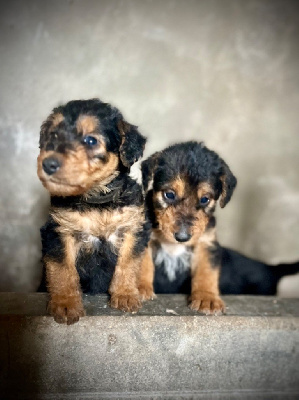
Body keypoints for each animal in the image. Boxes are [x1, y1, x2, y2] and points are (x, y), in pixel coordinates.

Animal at [37, 98, 150, 324]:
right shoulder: (58, 231)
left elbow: (128, 263)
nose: (48, 164)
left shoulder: (133, 229)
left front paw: (125, 295)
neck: (97, 201)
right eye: (54, 136)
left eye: (90, 141)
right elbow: (62, 269)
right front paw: (65, 304)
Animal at [139, 142, 238, 314]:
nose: (182, 237)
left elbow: (206, 270)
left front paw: (207, 298)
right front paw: (137, 288)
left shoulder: (207, 243)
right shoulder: (144, 235)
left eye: (205, 199)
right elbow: (142, 262)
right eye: (169, 195)